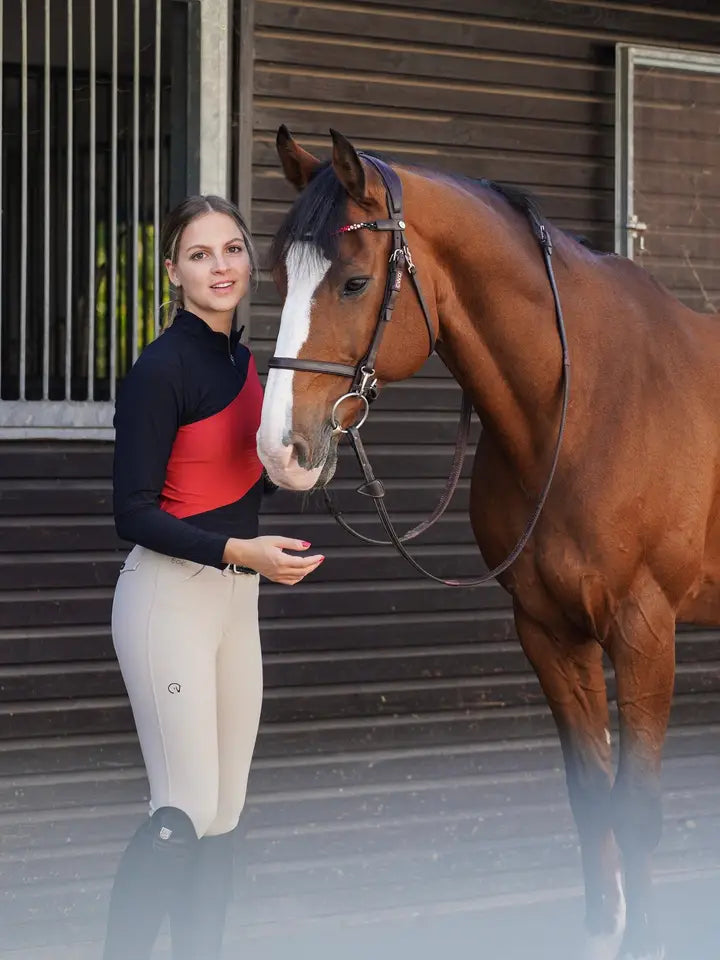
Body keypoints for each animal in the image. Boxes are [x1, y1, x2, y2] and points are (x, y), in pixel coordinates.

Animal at [256, 125, 720, 960]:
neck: (585, 404)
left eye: (354, 282)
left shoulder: (645, 630)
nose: (282, 450)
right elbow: (589, 798)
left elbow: (636, 811)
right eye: (279, 273)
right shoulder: (548, 630)